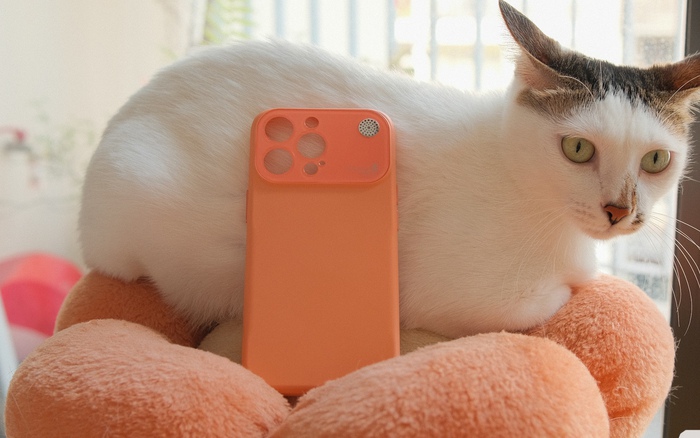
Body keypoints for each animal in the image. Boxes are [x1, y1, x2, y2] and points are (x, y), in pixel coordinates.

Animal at [79, 1, 700, 339]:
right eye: (576, 149)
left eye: (655, 160)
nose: (620, 210)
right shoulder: (468, 300)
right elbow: (562, 294)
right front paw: (584, 280)